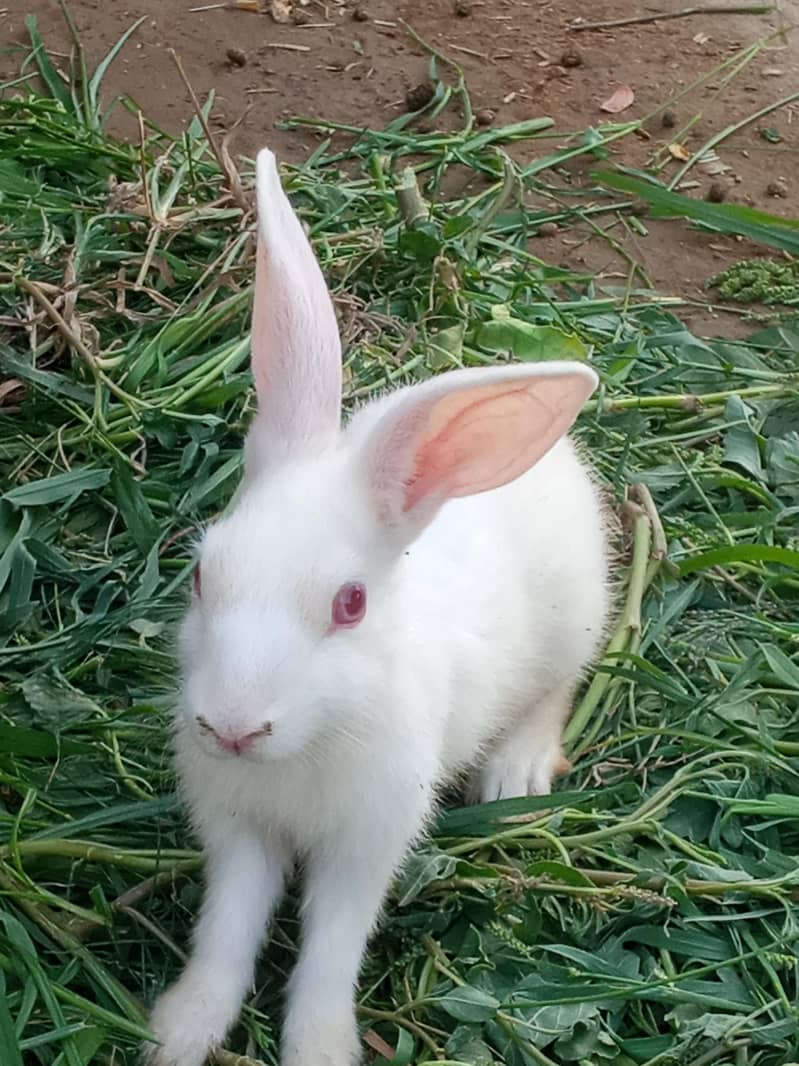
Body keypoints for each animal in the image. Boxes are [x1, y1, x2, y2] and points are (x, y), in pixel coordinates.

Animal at [146, 147, 610, 1066]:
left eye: (351, 604)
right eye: (202, 575)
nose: (231, 728)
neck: (305, 748)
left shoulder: (367, 841)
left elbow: (332, 943)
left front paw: (319, 1046)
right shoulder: (237, 832)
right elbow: (228, 927)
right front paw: (181, 1029)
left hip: (575, 616)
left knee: (556, 689)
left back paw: (513, 771)